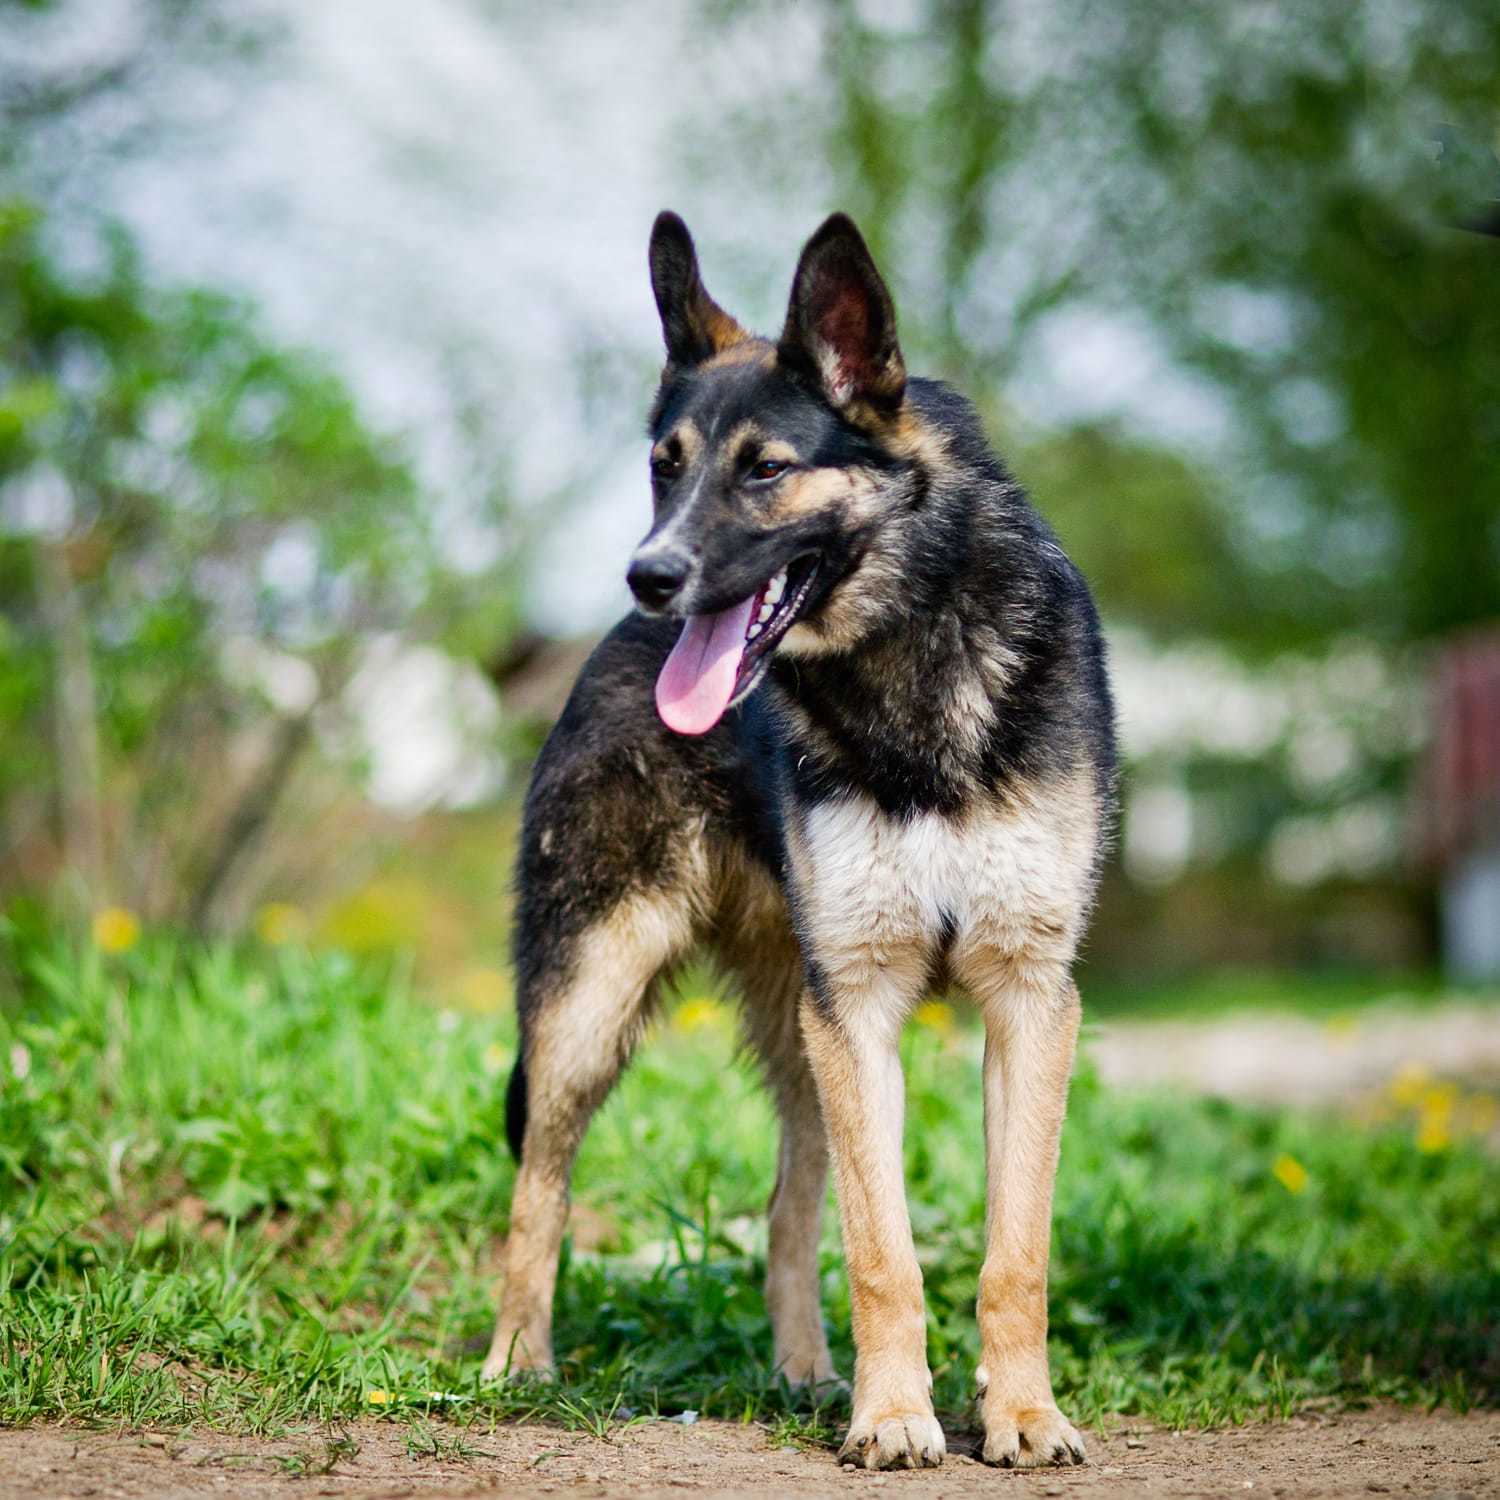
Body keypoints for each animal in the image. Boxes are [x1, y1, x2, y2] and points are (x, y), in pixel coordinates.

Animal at [486, 214, 1122, 1476]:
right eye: (664, 463)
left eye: (765, 470)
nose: (651, 573)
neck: (915, 656)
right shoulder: (862, 1009)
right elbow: (885, 1254)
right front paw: (895, 1417)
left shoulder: (1027, 1000)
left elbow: (1012, 1249)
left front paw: (1021, 1414)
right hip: (595, 1005)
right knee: (541, 1184)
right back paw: (514, 1364)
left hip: (804, 1043)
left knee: (790, 1204)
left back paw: (803, 1374)